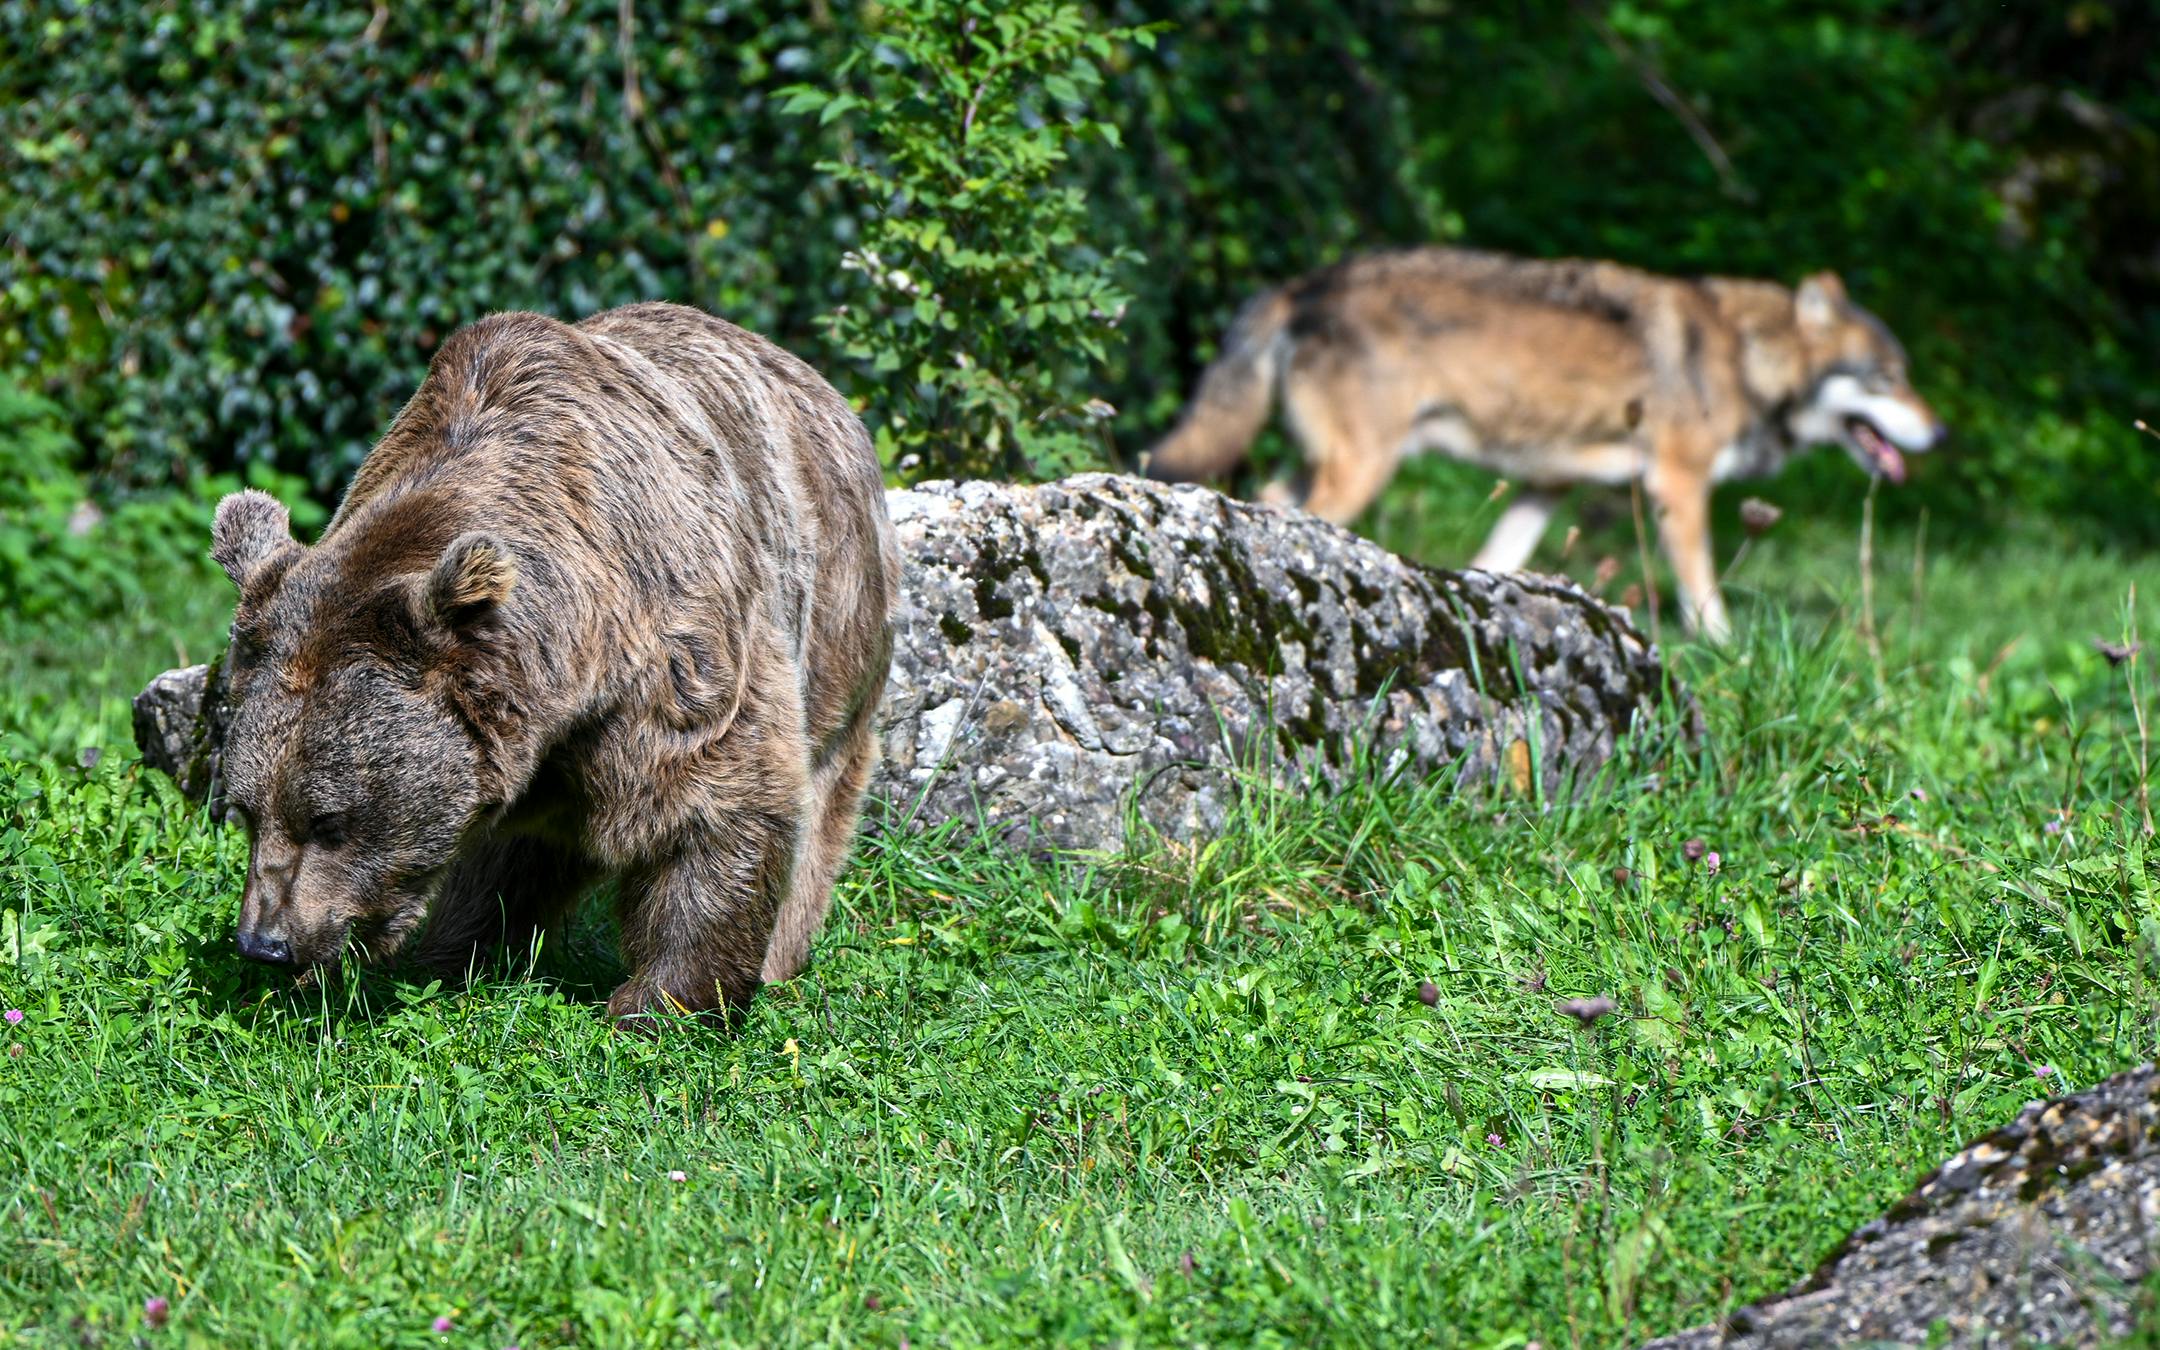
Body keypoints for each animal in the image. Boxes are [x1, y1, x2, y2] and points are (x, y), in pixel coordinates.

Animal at [208, 302, 900, 1024]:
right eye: (245, 809)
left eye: (329, 821)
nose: (266, 942)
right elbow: (500, 859)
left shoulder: (676, 657)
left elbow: (713, 805)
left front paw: (662, 999)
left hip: (837, 615)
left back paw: (781, 956)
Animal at [1144, 248, 1946, 640]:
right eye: (1888, 379)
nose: (1939, 433)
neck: (1746, 356)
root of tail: (1305, 283)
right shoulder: (1679, 486)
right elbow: (1704, 590)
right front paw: (1728, 650)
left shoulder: (1546, 486)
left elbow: (1498, 559)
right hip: (1360, 470)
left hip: (1317, 465)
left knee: (1264, 502)